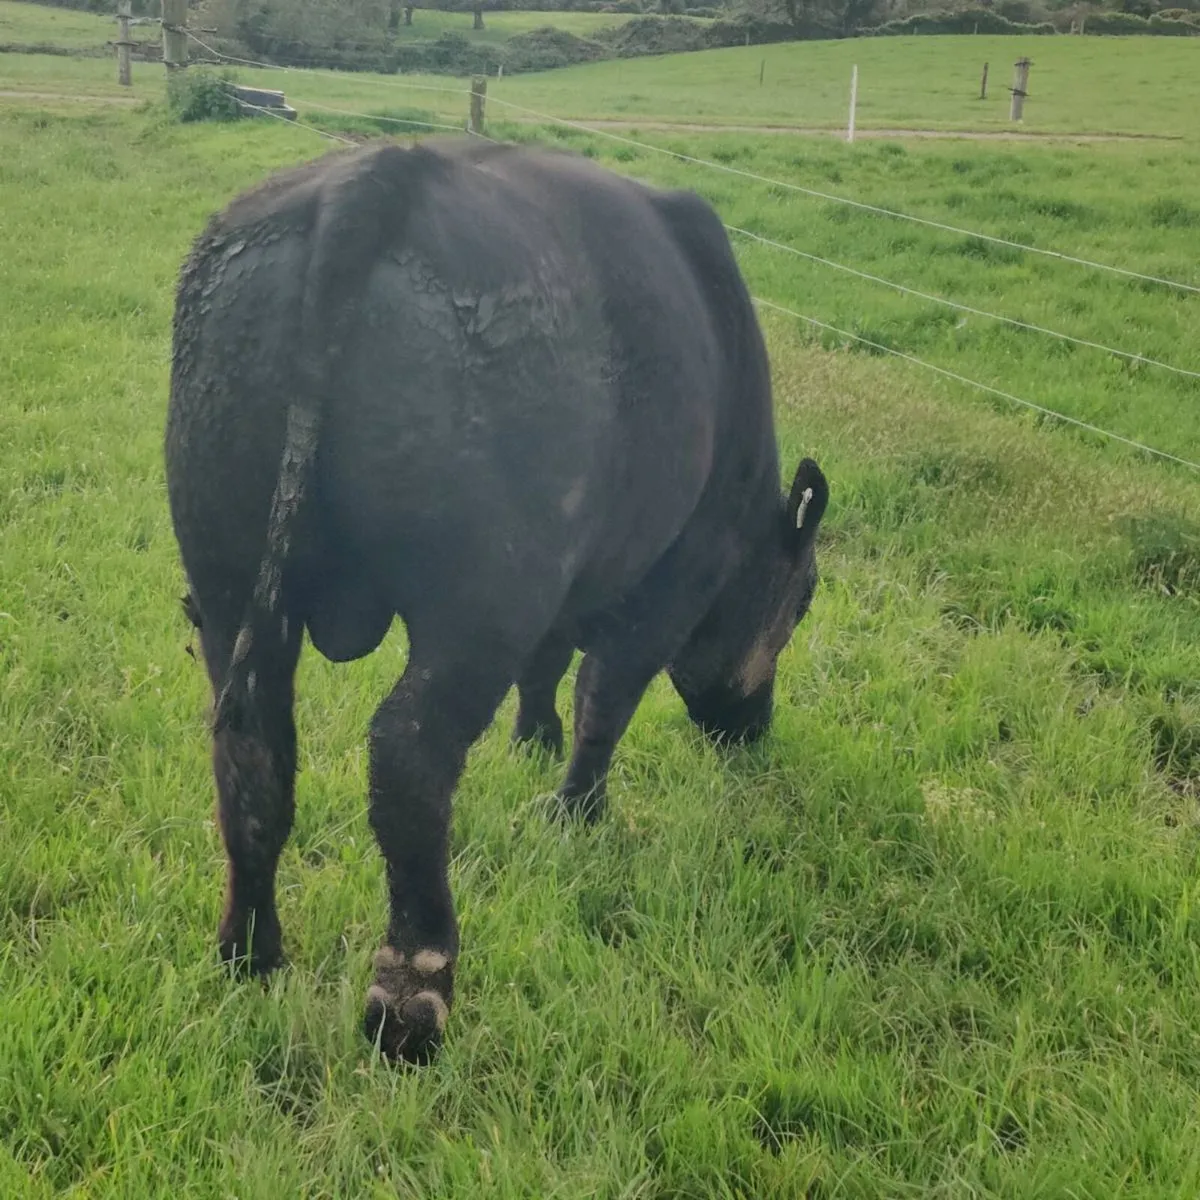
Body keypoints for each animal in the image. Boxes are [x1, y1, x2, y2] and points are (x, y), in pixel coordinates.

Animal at [164, 137, 829, 1063]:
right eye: (801, 601)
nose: (752, 727)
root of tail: (374, 172)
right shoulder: (669, 579)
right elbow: (604, 698)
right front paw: (576, 810)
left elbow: (547, 669)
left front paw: (533, 742)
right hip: (478, 602)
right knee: (408, 754)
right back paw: (413, 995)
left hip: (227, 579)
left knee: (253, 748)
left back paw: (249, 951)